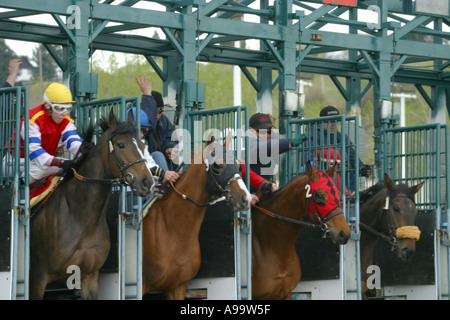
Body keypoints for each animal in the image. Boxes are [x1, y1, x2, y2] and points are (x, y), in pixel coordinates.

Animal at [29, 110, 155, 300]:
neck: (80, 218)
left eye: (142, 145)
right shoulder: (38, 277)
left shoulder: (89, 276)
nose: (147, 183)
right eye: (120, 145)